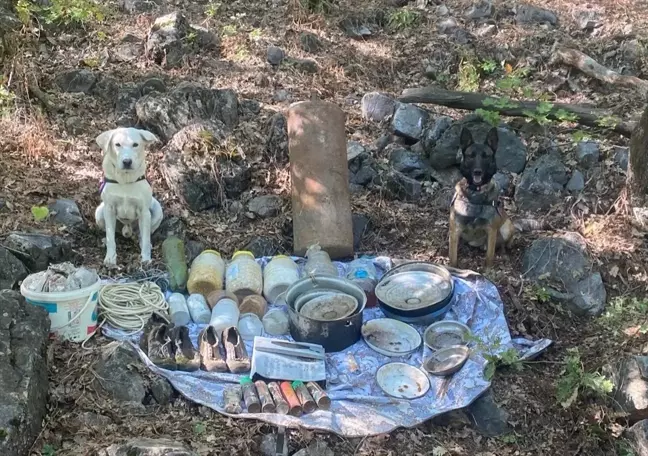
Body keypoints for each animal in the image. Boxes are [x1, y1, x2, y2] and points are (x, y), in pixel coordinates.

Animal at [94, 126, 163, 266]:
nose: (127, 161)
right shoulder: (109, 209)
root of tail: (128, 229)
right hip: (99, 212)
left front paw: (146, 259)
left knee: (144, 235)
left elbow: (146, 239)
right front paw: (110, 258)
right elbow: (111, 237)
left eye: (135, 144)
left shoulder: (144, 212)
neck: (125, 180)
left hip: (157, 211)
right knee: (112, 233)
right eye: (117, 144)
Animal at [448, 125, 512, 268]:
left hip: (507, 227)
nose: (477, 171)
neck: (476, 193)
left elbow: (489, 259)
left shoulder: (491, 231)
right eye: (471, 156)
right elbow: (453, 259)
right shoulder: (455, 229)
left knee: (504, 244)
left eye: (485, 156)